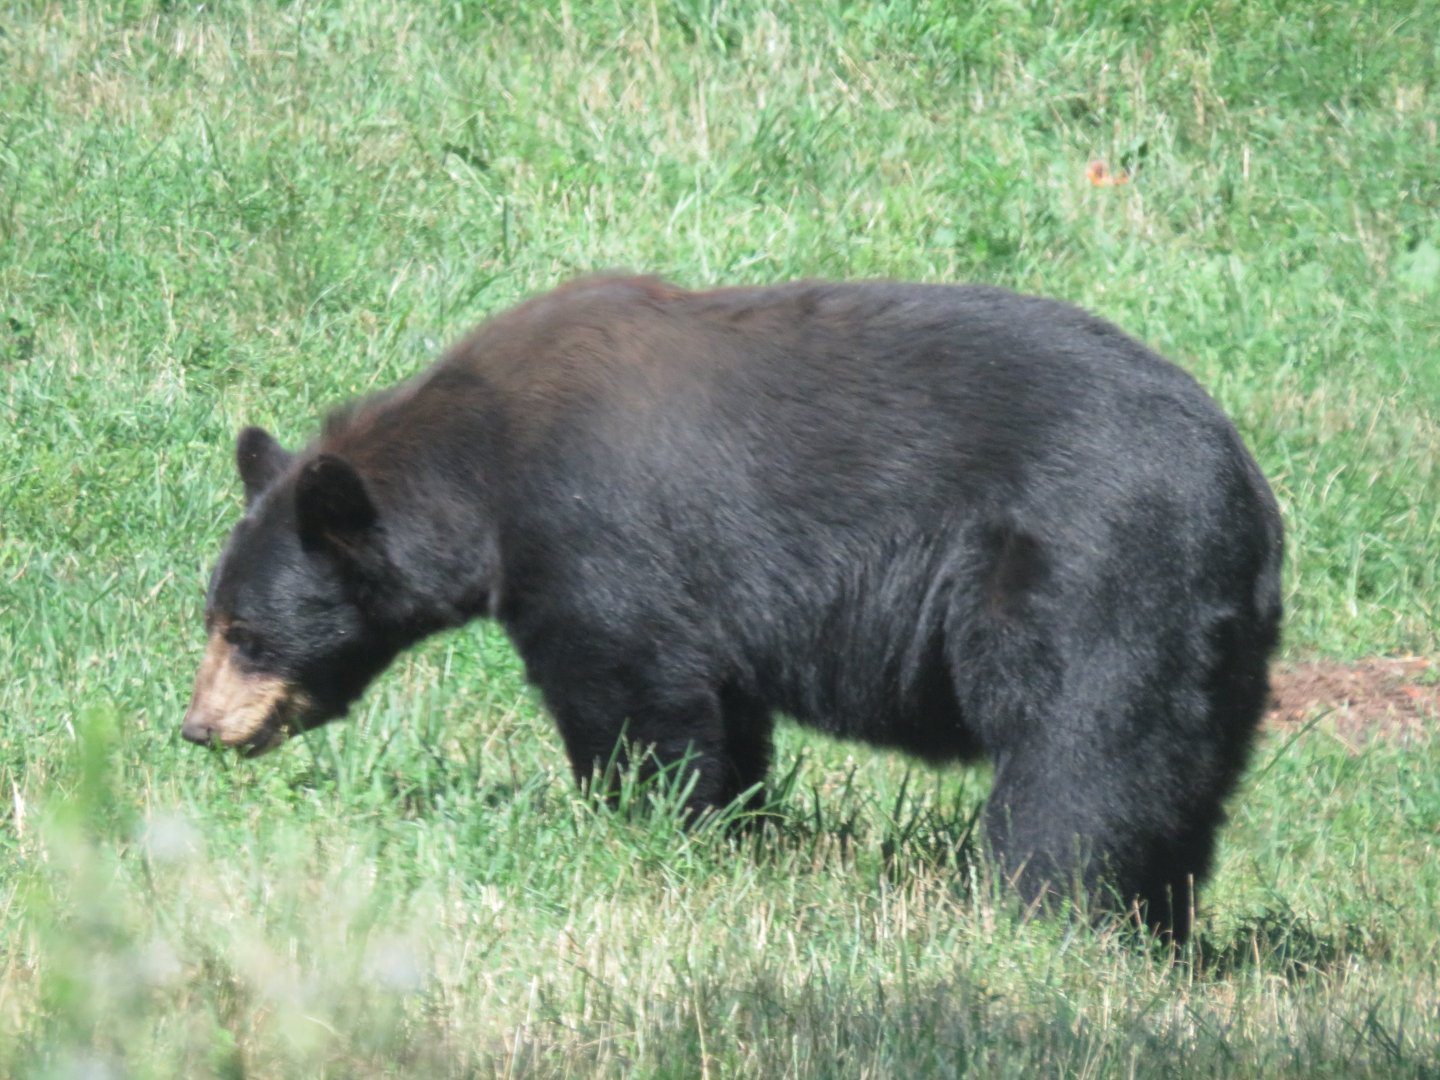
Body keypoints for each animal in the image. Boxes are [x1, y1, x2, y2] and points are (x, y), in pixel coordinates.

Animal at [182, 275, 1283, 938]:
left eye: (247, 633)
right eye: (214, 621)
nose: (198, 728)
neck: (483, 466)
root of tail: (1244, 488)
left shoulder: (600, 539)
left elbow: (635, 697)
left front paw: (635, 824)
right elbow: (725, 710)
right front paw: (736, 829)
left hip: (1093, 573)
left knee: (1081, 752)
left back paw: (1036, 909)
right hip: (1217, 643)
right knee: (1178, 773)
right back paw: (1155, 926)